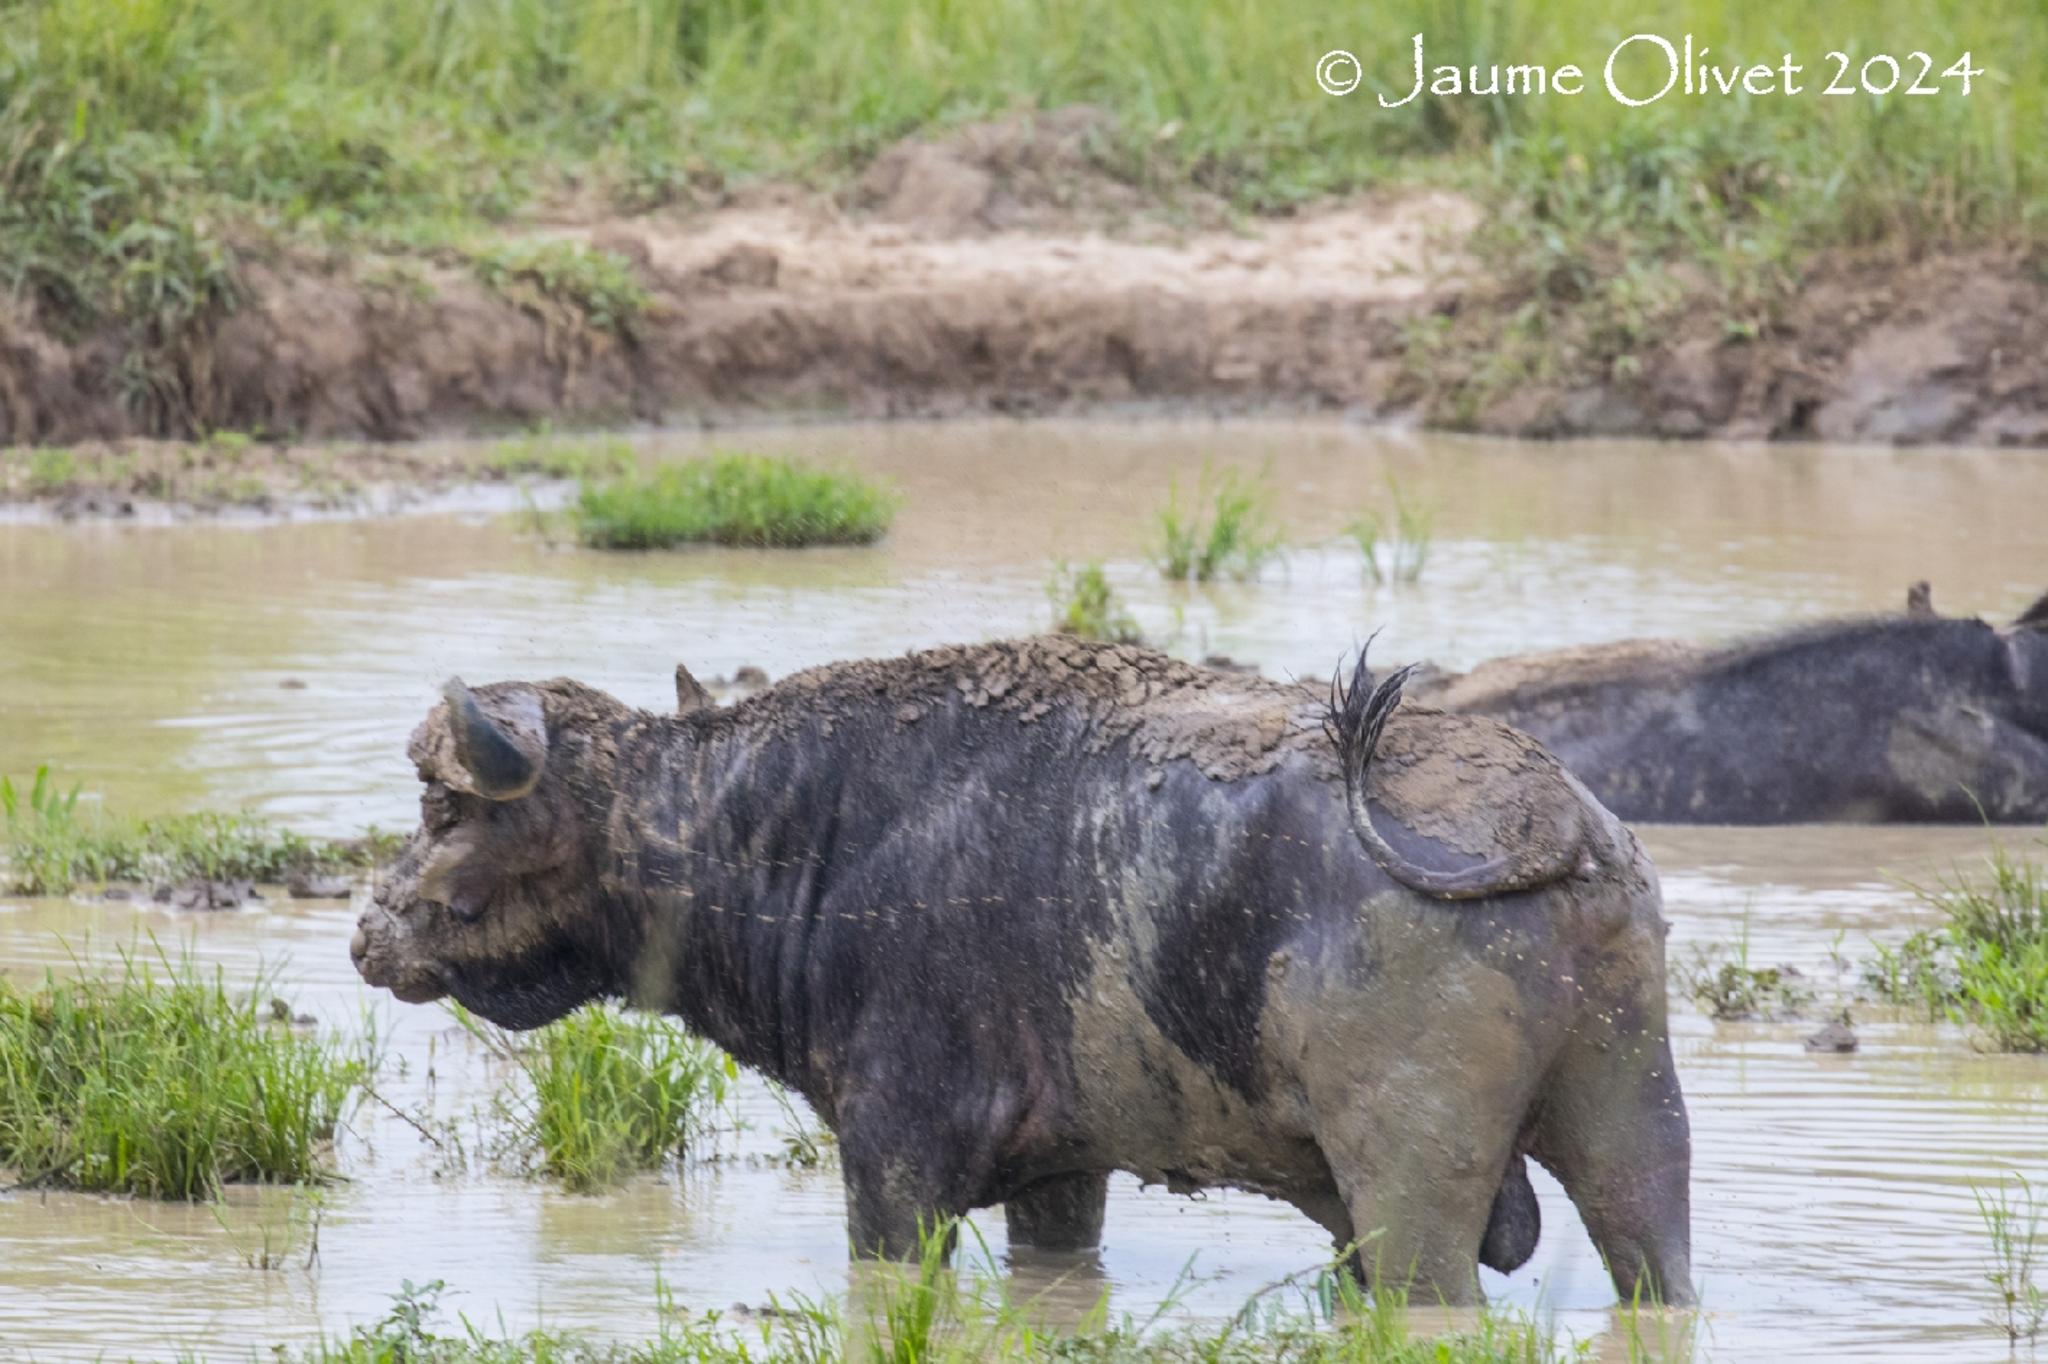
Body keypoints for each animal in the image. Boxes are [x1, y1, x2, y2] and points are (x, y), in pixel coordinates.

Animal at [352, 638, 1695, 1310]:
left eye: (443, 806)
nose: (369, 930)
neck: (789, 824)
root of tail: (1548, 816)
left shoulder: (895, 1156)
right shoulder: (1062, 1175)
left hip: (1407, 1186)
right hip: (1629, 1117)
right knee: (1653, 1259)